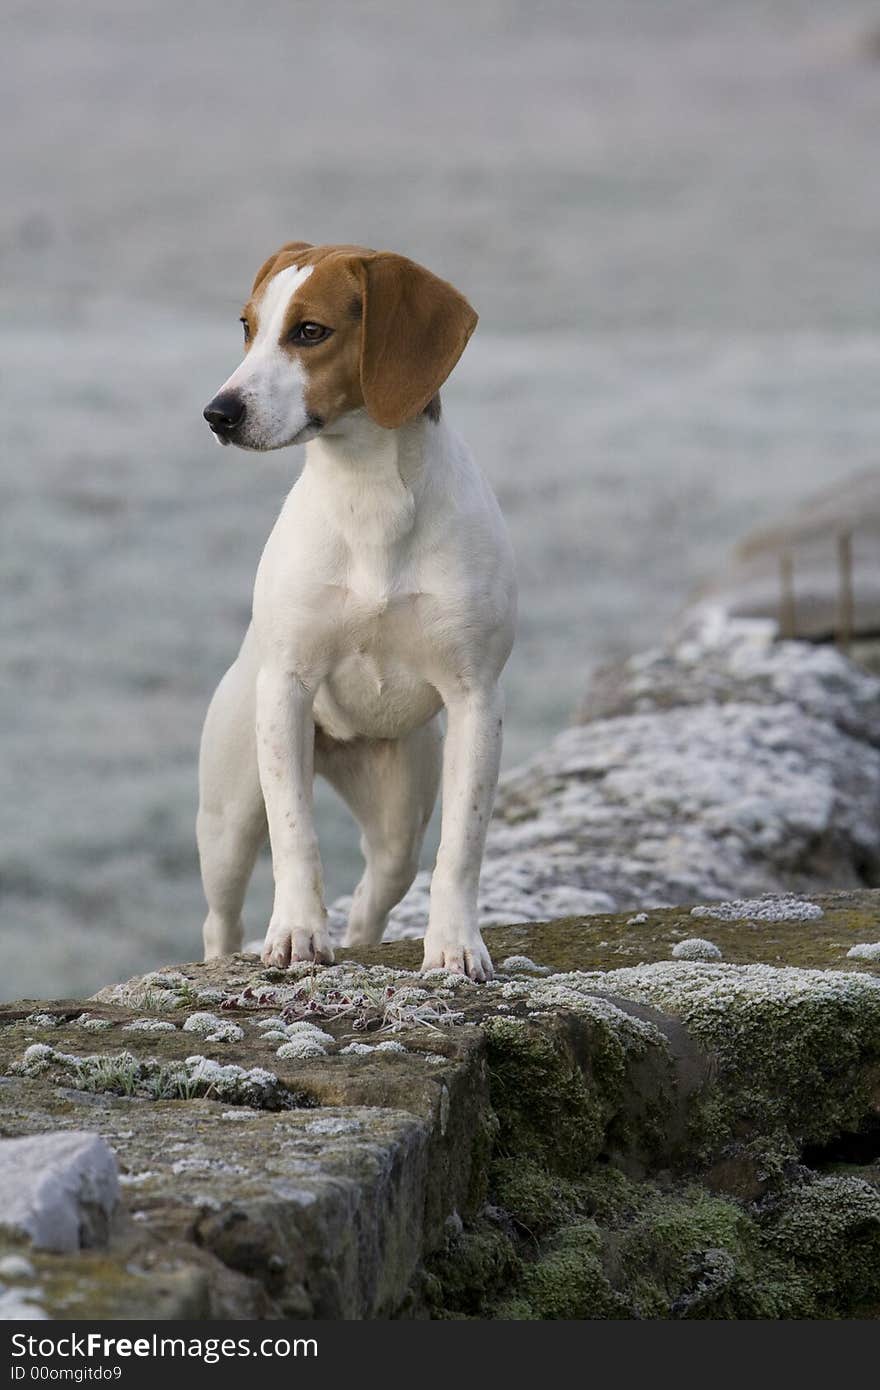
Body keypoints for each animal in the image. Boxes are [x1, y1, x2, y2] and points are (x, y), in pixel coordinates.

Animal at [198, 241, 514, 978]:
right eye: (247, 326)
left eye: (310, 331)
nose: (218, 412)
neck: (368, 494)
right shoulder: (287, 691)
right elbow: (296, 836)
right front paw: (296, 933)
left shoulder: (476, 700)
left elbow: (462, 846)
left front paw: (455, 945)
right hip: (228, 817)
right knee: (220, 920)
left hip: (399, 813)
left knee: (377, 892)